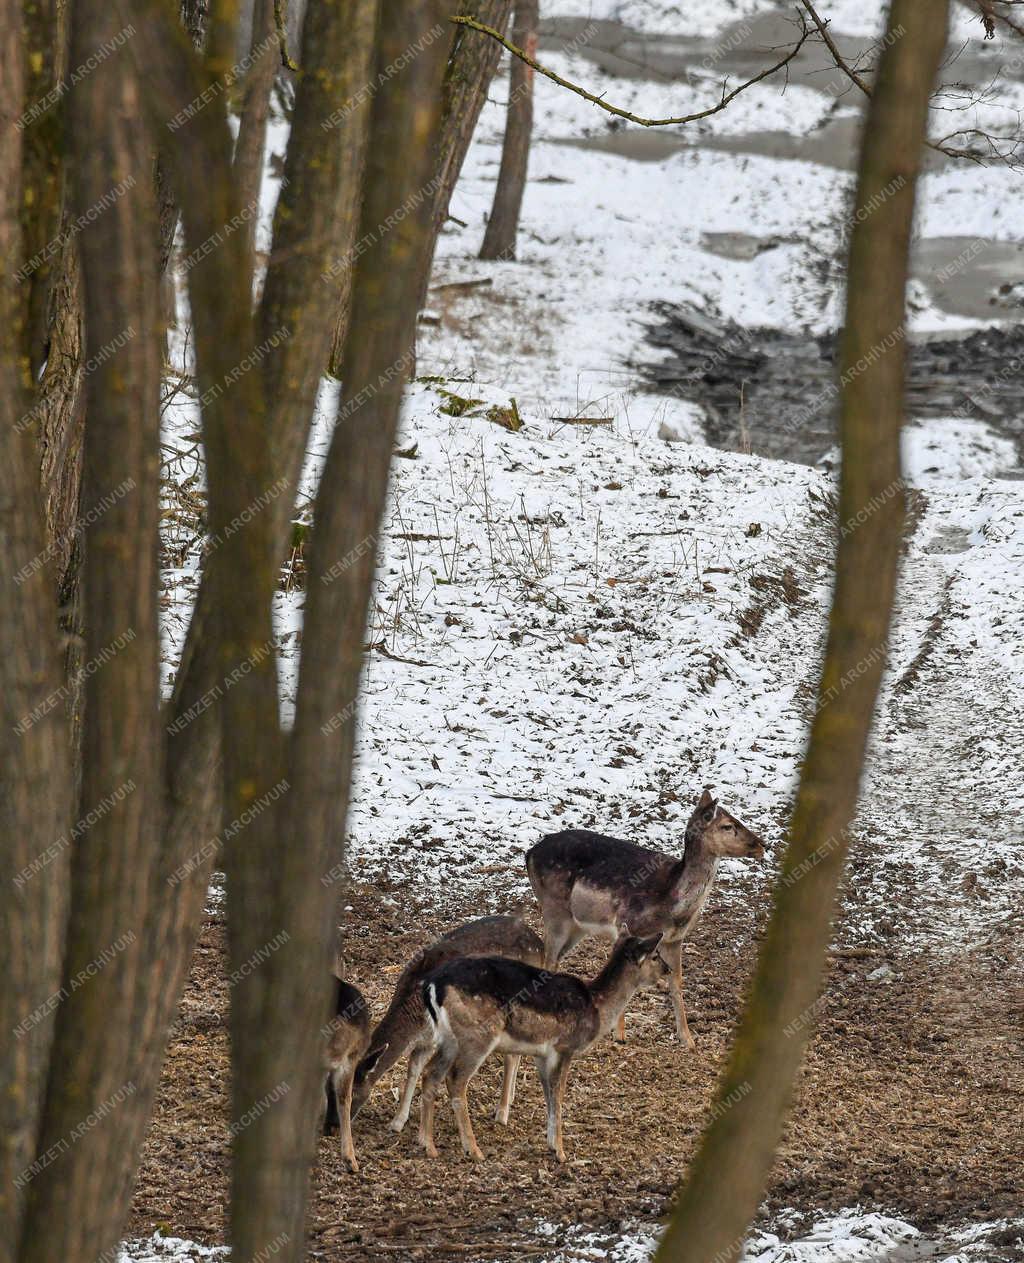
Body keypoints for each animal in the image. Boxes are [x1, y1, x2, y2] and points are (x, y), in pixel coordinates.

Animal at [353, 914, 545, 1131]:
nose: (334, 1125)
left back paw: (502, 1112)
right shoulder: (426, 1037)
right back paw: (510, 1097)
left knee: (512, 1054)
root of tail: (540, 945)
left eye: (351, 1093)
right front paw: (398, 1121)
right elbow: (413, 1069)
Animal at [416, 934, 666, 1156]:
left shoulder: (541, 1054)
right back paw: (473, 1150)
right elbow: (559, 1094)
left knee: (430, 1073)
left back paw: (428, 1145)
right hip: (476, 1037)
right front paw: (562, 1153)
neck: (597, 1008)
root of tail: (432, 985)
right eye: (655, 955)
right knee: (455, 1079)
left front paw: (552, 1145)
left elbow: (548, 1094)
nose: (668, 970)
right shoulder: (564, 1047)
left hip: (447, 1038)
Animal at [525, 788, 762, 1045]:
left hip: (577, 925)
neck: (673, 905)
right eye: (727, 825)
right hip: (554, 910)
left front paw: (688, 1040)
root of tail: (529, 853)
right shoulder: (627, 923)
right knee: (548, 958)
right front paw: (619, 1036)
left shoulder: (675, 939)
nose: (762, 845)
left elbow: (676, 982)